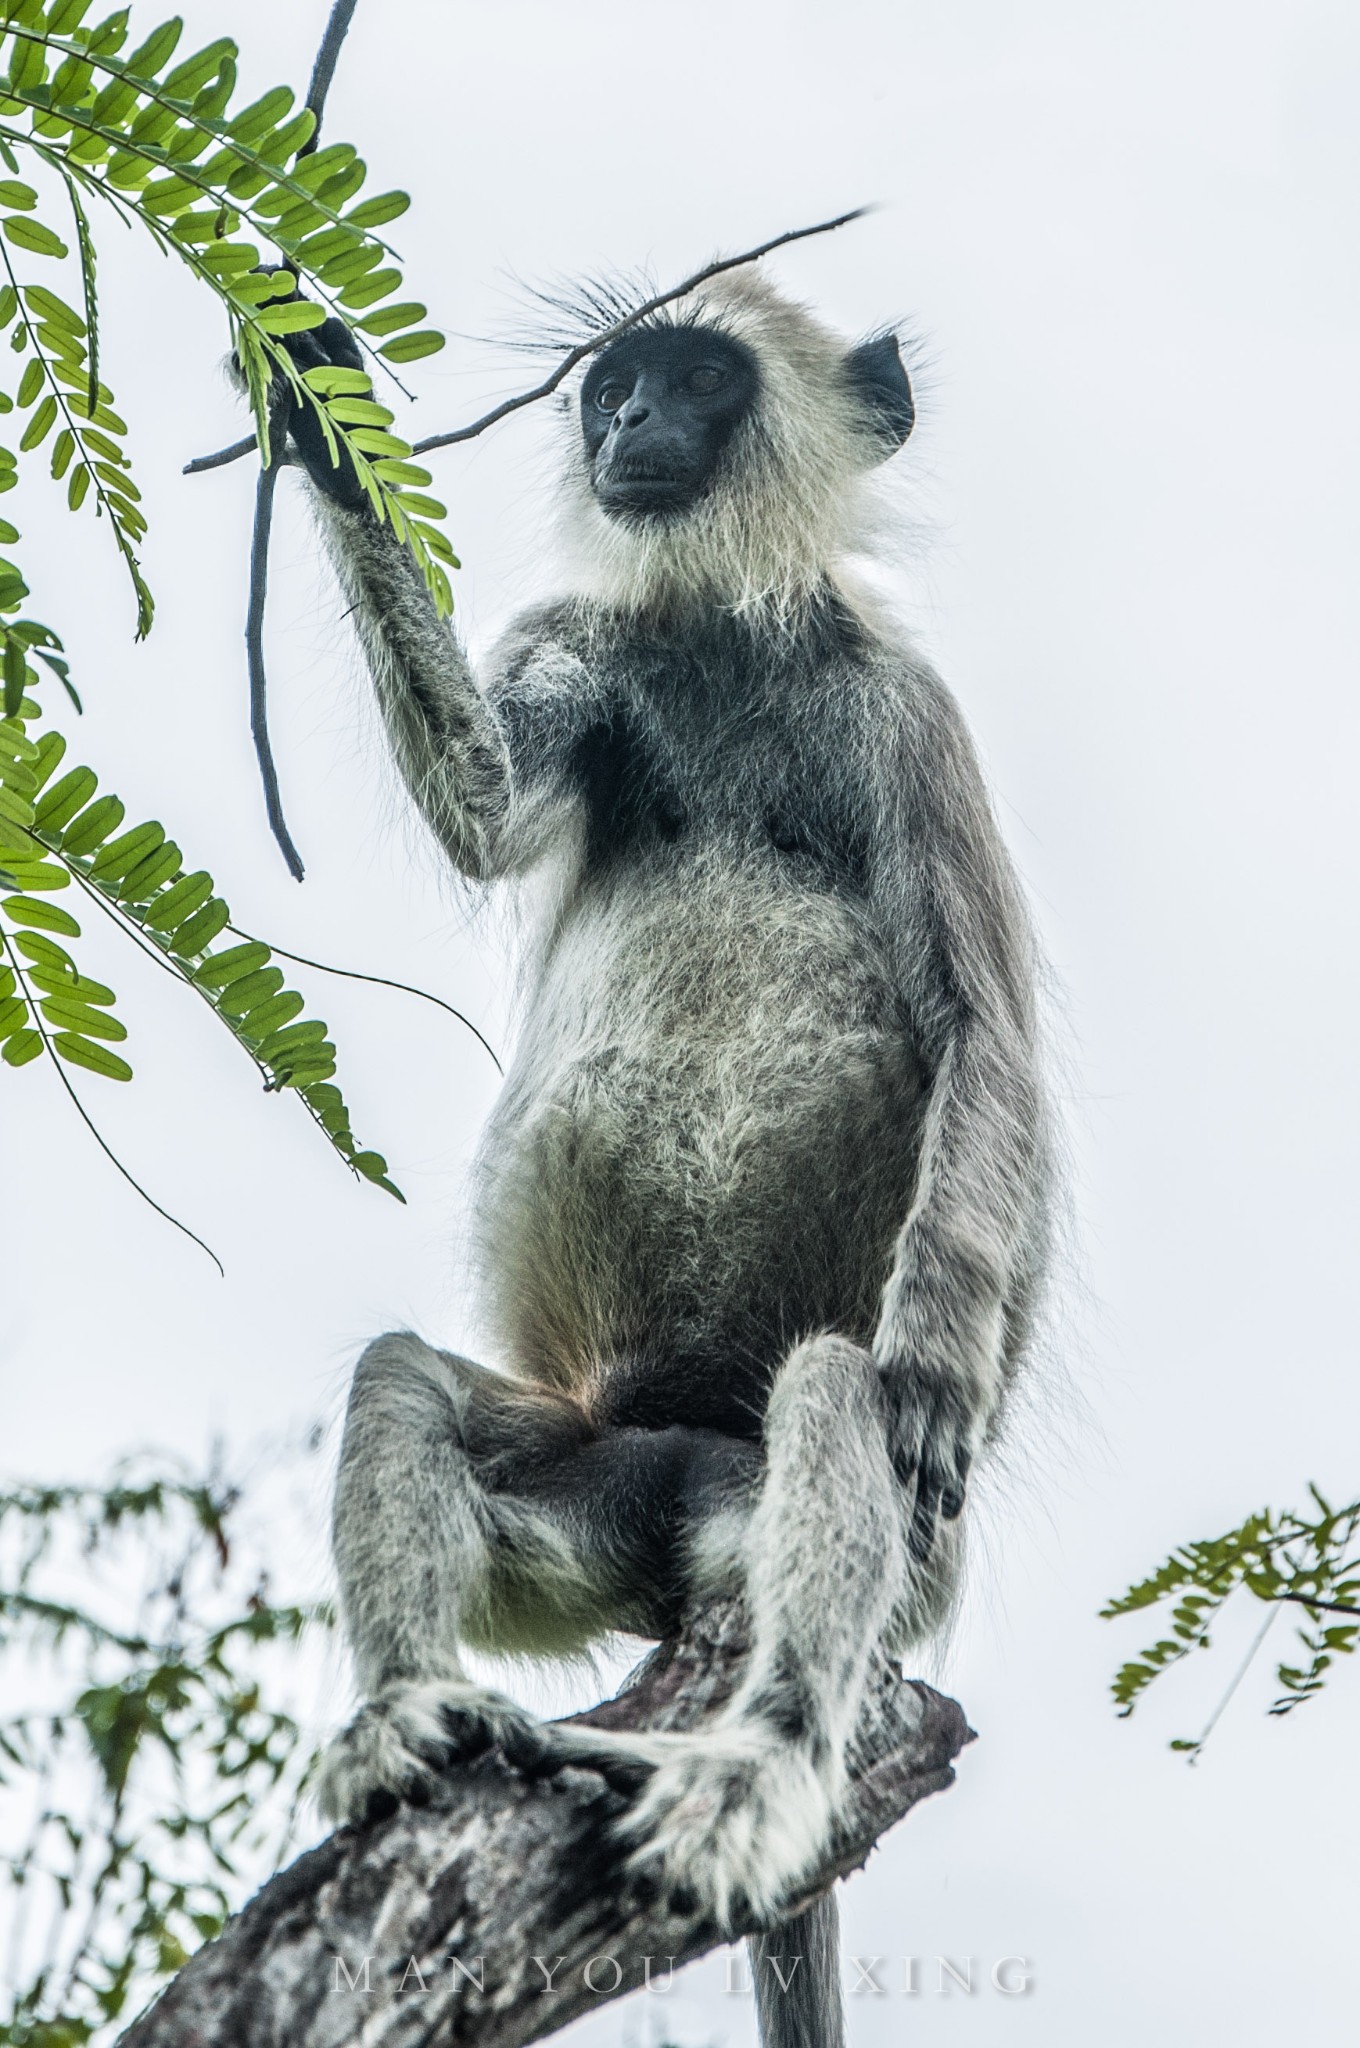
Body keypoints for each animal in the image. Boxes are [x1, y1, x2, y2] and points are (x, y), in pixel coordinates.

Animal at [278, 264, 1048, 2048]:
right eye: (612, 385)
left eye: (695, 381)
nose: (626, 421)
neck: (724, 638)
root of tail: (685, 1490)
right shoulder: (593, 647)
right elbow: (484, 808)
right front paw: (313, 399)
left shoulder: (907, 718)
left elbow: (987, 1044)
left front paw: (938, 1365)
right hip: (582, 1487)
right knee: (408, 1380)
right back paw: (412, 1710)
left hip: (855, 1539)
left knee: (838, 1393)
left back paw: (763, 1757)